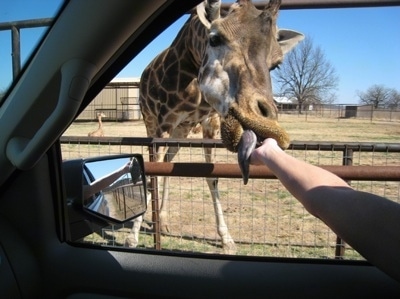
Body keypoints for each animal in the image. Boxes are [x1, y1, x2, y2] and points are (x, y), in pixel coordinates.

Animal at [126, 0, 304, 255]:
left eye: (277, 64)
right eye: (215, 39)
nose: (262, 119)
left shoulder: (209, 123)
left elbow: (211, 176)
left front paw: (226, 238)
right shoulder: (163, 123)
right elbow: (151, 171)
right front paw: (132, 237)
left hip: (182, 130)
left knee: (169, 161)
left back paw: (164, 221)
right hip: (151, 122)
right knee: (157, 163)